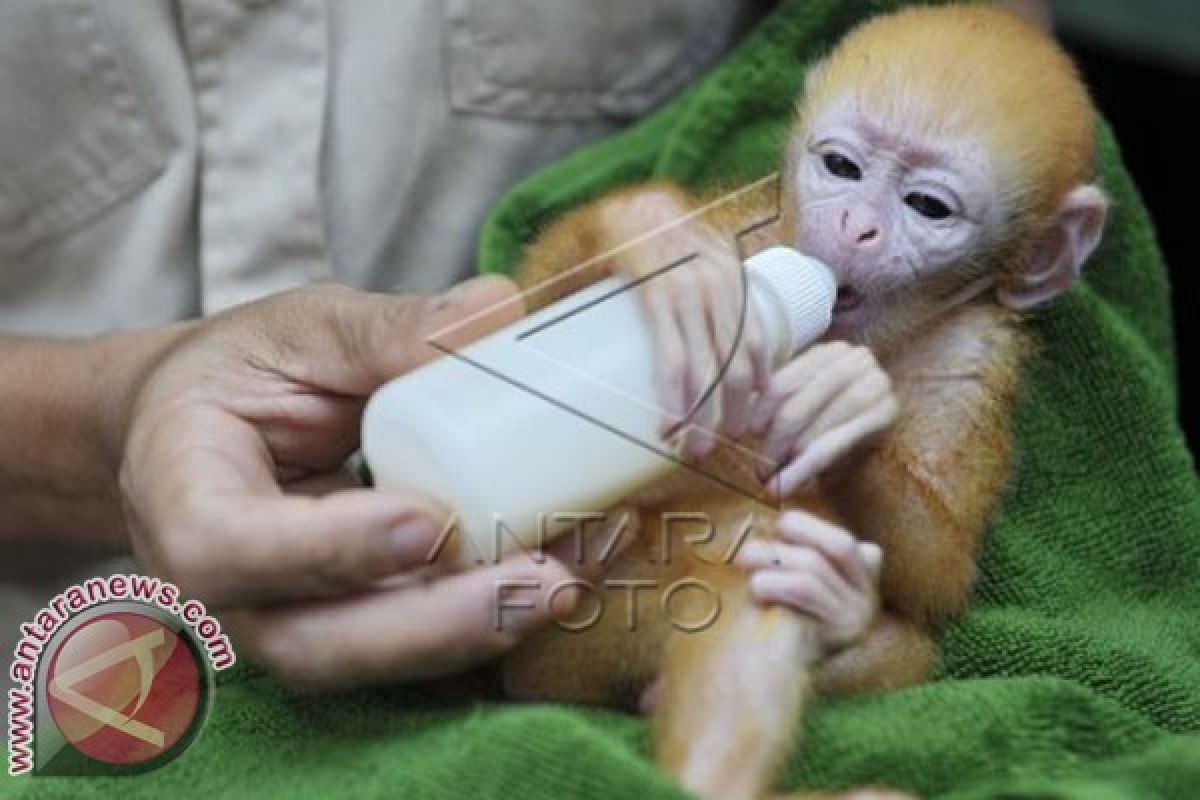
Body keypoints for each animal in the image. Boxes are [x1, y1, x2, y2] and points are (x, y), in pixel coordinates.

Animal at [496, 6, 1104, 800]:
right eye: (841, 168)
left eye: (928, 207)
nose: (854, 226)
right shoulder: (749, 231)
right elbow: (526, 302)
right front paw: (643, 228)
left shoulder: (971, 357)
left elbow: (936, 576)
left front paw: (847, 410)